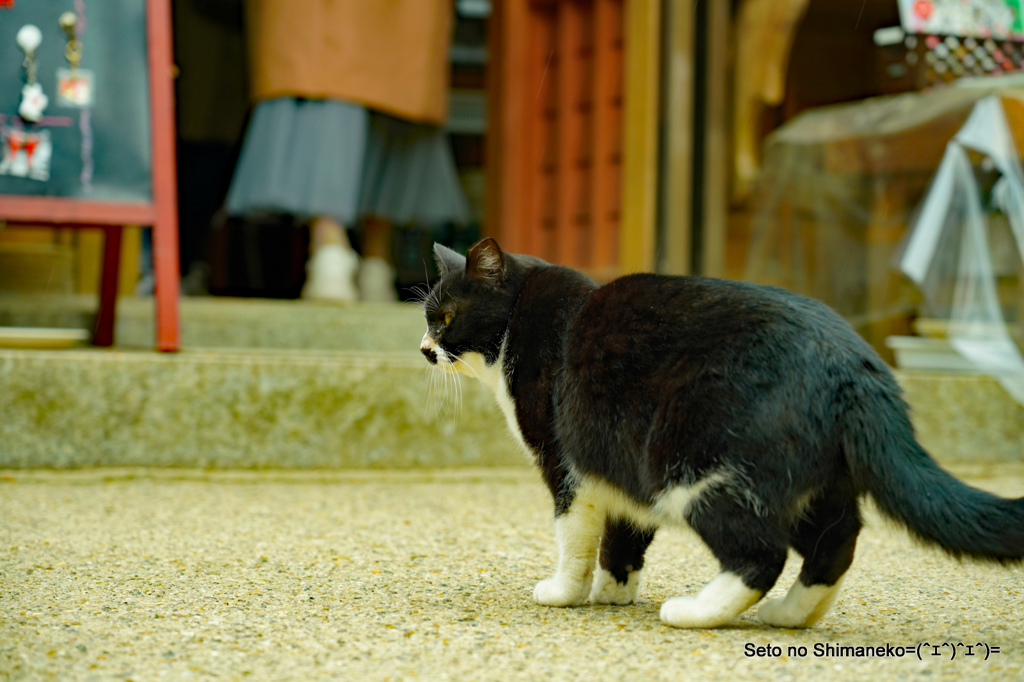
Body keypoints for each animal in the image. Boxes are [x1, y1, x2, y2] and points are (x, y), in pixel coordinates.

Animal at [417, 237, 1024, 626]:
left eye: (444, 318)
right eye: (426, 318)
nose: (424, 349)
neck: (518, 322)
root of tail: (854, 363)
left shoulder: (567, 461)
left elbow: (575, 535)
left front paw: (564, 592)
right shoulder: (619, 461)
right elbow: (625, 532)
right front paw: (614, 593)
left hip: (695, 468)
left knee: (762, 554)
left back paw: (694, 611)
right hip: (806, 481)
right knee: (837, 541)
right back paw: (789, 616)